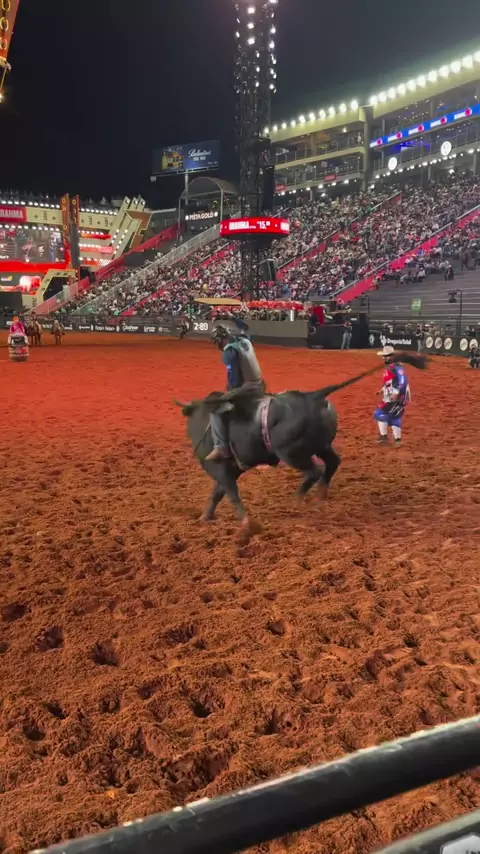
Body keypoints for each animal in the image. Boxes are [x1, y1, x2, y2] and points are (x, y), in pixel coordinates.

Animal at [176, 353, 427, 540]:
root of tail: (313, 395)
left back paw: (297, 499)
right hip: (321, 444)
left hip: (291, 452)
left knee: (314, 471)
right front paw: (205, 518)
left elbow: (230, 494)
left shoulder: (220, 470)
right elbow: (217, 494)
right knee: (332, 463)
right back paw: (320, 495)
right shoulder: (230, 470)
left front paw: (247, 525)